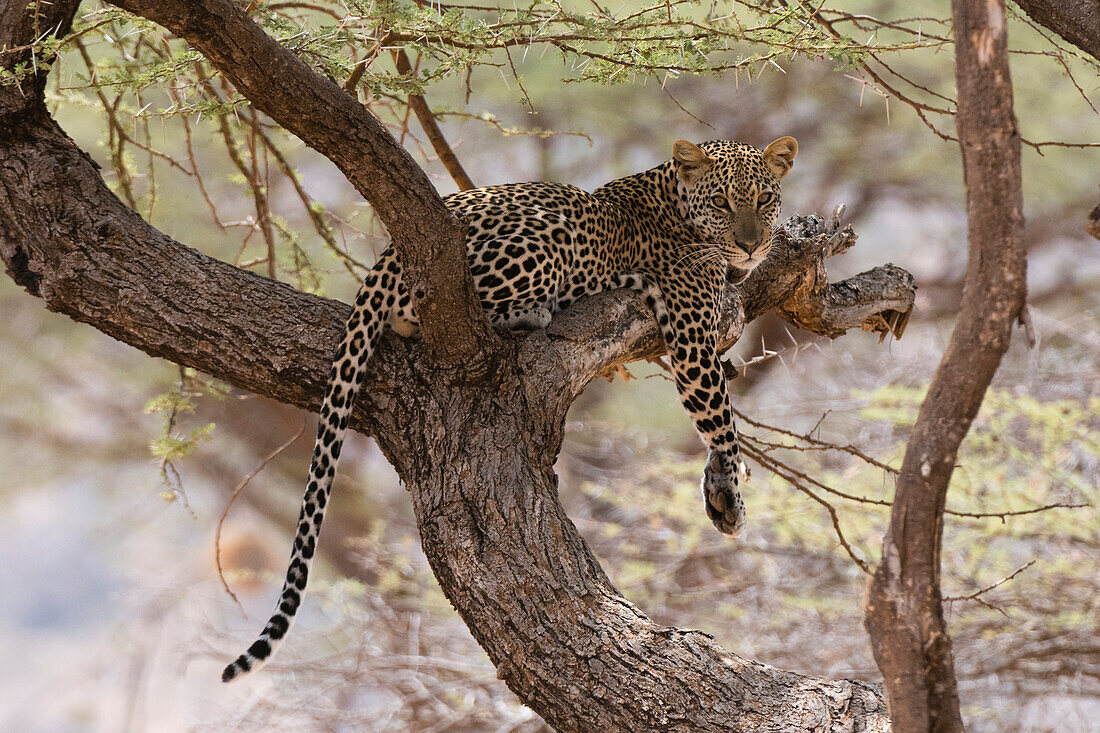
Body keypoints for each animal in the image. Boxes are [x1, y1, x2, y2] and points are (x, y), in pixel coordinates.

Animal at [218, 135, 800, 677]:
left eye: (766, 199)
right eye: (723, 202)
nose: (751, 246)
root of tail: (387, 256)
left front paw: (716, 486)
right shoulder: (691, 328)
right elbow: (718, 415)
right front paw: (732, 492)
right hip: (548, 235)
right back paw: (540, 310)